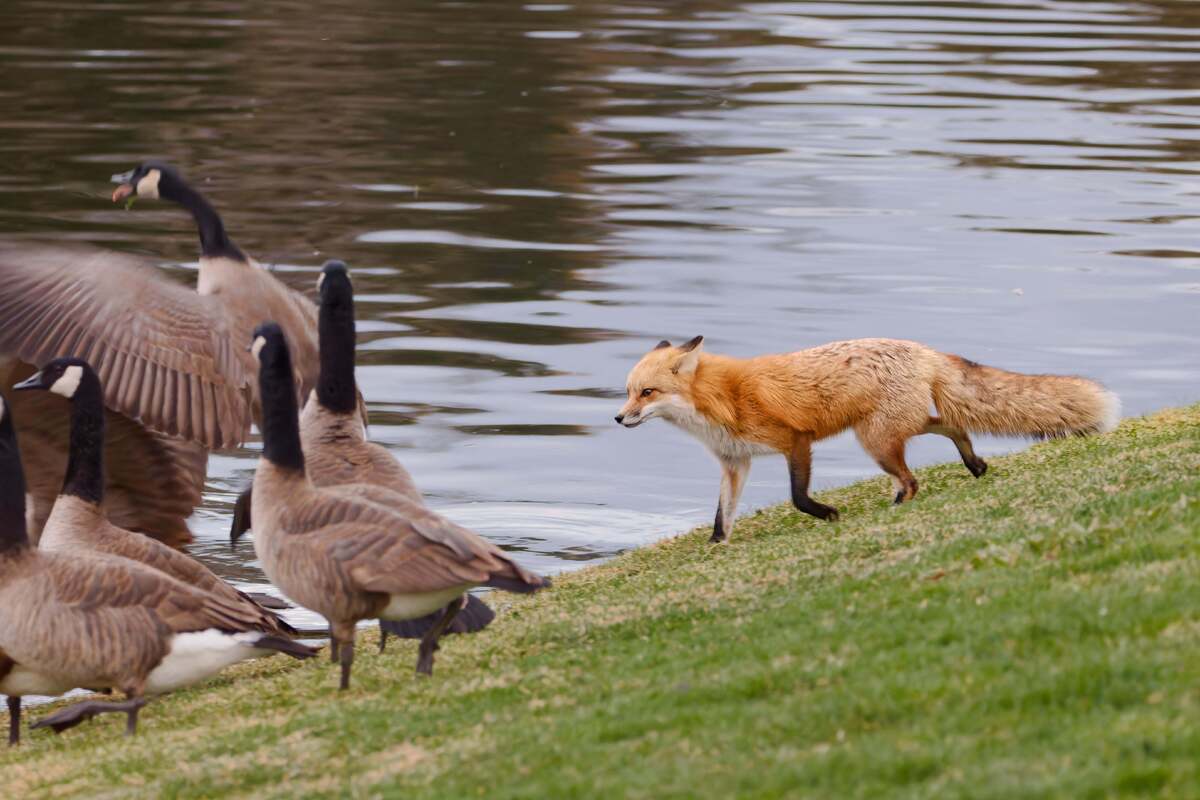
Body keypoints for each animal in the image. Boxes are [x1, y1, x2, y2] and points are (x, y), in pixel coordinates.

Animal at [614, 335, 1118, 542]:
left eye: (647, 392)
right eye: (628, 391)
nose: (618, 418)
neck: (722, 398)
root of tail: (924, 350)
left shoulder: (795, 441)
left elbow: (798, 497)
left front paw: (829, 514)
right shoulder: (735, 462)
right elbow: (722, 516)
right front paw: (716, 547)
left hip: (875, 440)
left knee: (913, 479)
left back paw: (897, 506)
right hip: (891, 429)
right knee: (952, 425)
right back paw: (973, 463)